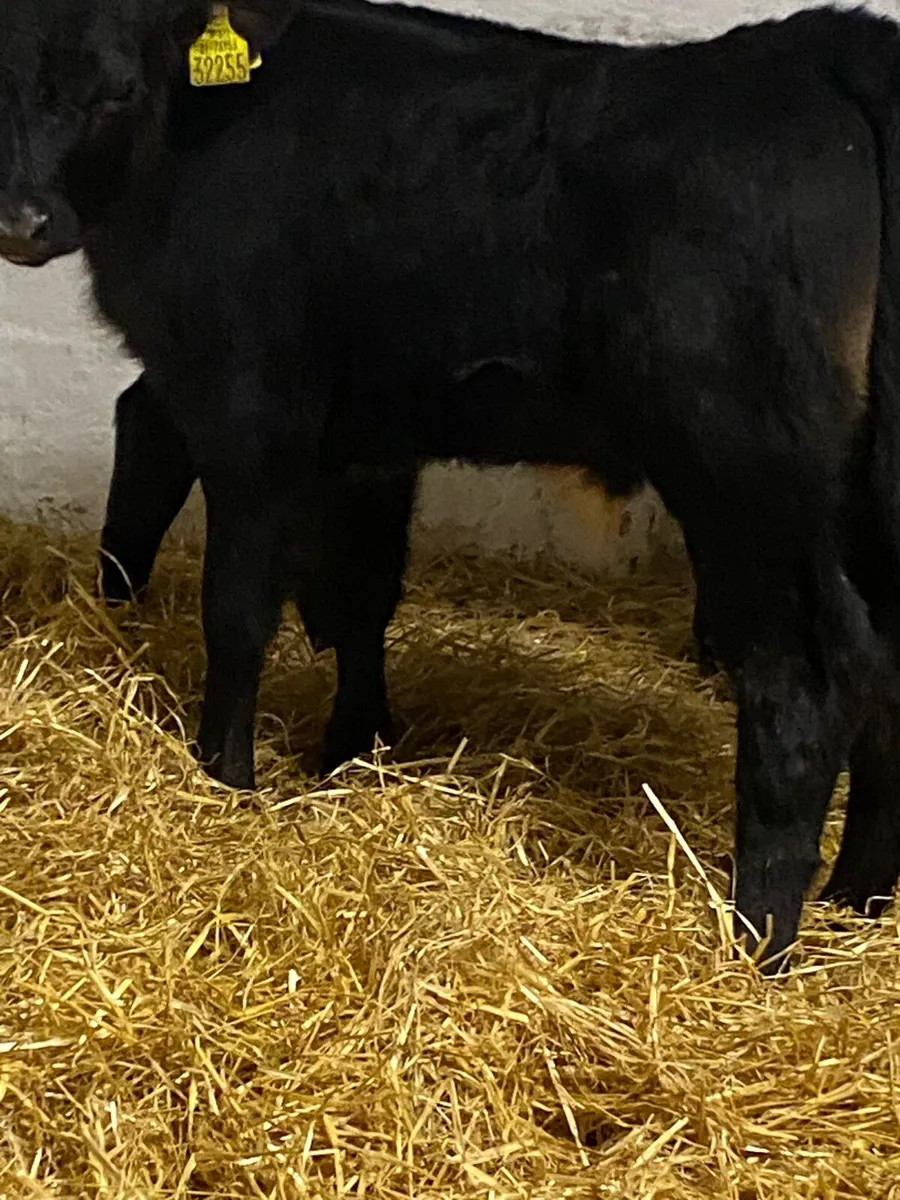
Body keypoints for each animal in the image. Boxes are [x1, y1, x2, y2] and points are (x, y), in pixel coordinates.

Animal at [0, 0, 899, 971]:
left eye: (117, 88)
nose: (21, 222)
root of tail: (816, 49)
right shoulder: (369, 435)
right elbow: (357, 597)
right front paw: (352, 754)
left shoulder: (251, 411)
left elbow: (238, 610)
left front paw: (226, 780)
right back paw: (859, 898)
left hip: (749, 473)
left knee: (805, 676)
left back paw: (757, 939)